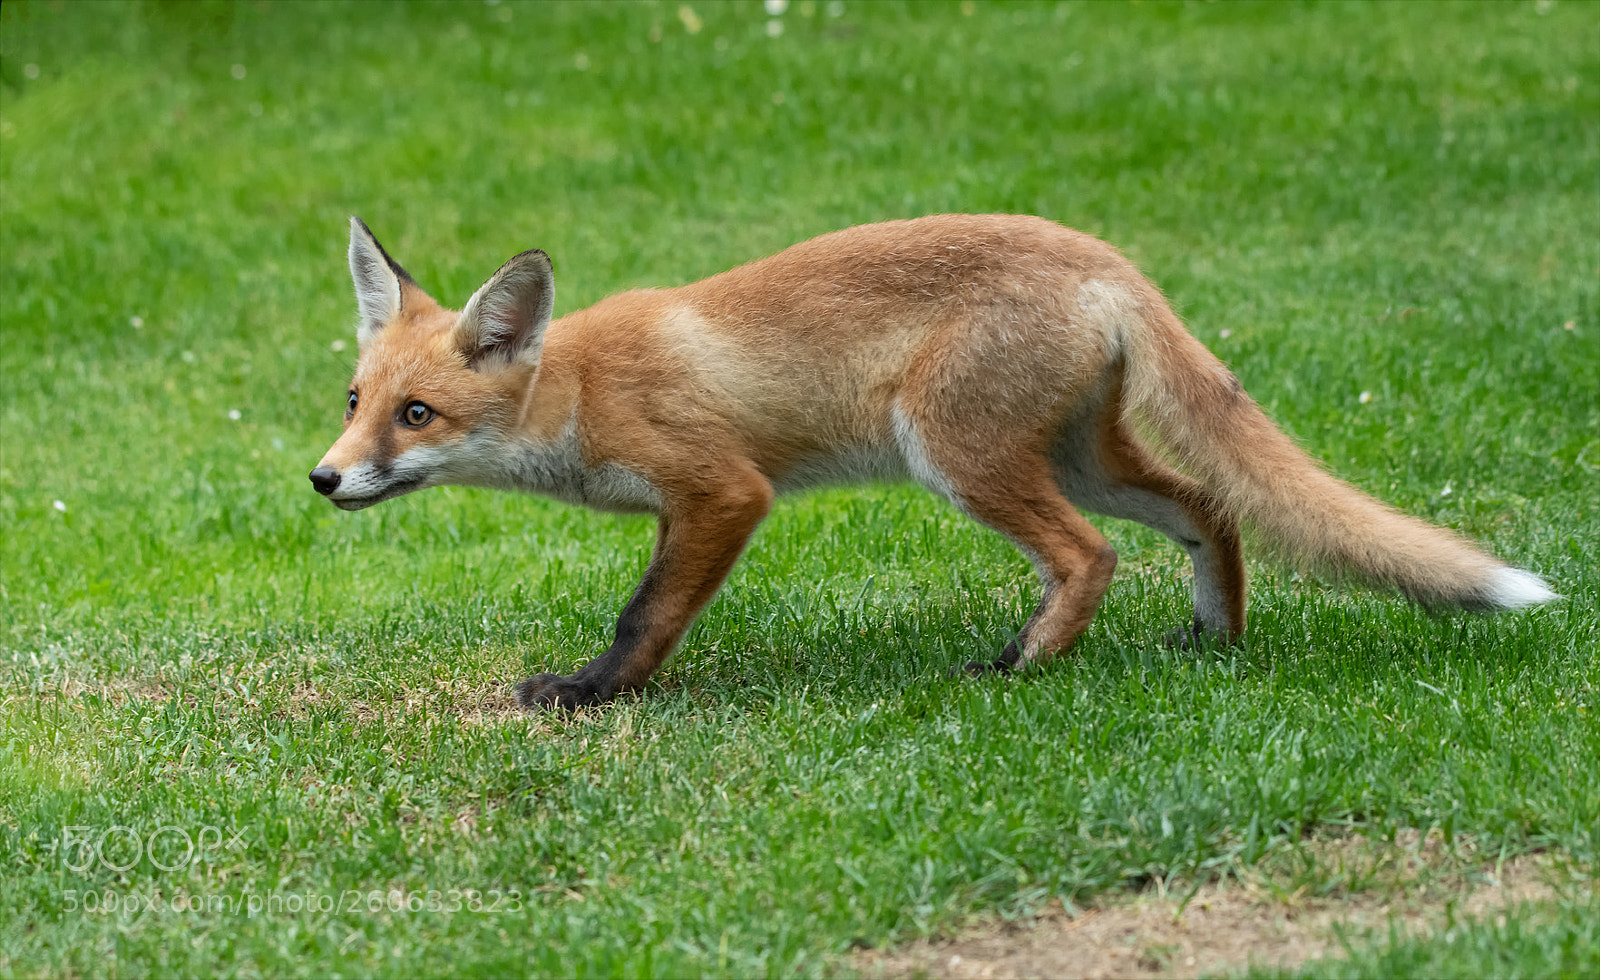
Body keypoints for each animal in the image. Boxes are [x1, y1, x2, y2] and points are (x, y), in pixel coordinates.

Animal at [311, 214, 1557, 709]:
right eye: (356, 402)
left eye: (418, 413)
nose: (323, 478)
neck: (576, 391)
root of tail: (1102, 256)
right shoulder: (688, 503)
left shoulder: (720, 490)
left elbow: (645, 612)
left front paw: (592, 692)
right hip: (1077, 453)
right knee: (1208, 502)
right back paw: (1211, 638)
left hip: (956, 453)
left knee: (1089, 554)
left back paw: (1020, 666)